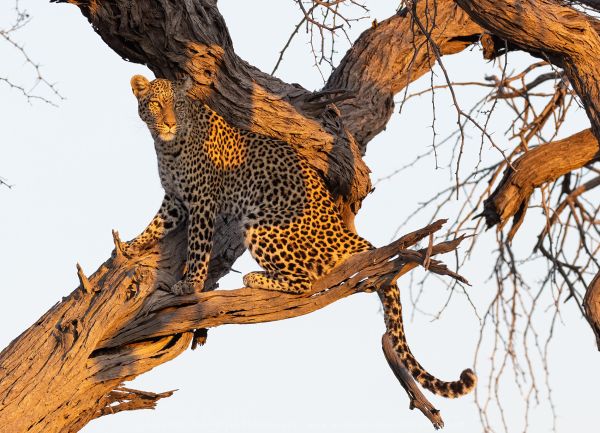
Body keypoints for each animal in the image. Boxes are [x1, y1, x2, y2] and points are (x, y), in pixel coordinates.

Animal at [127, 74, 478, 398]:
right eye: (156, 104)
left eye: (178, 105)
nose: (169, 123)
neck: (167, 146)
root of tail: (339, 229)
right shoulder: (175, 199)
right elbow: (156, 224)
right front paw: (131, 246)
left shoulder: (202, 200)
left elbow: (198, 245)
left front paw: (190, 283)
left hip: (261, 221)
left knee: (304, 281)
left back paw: (256, 278)